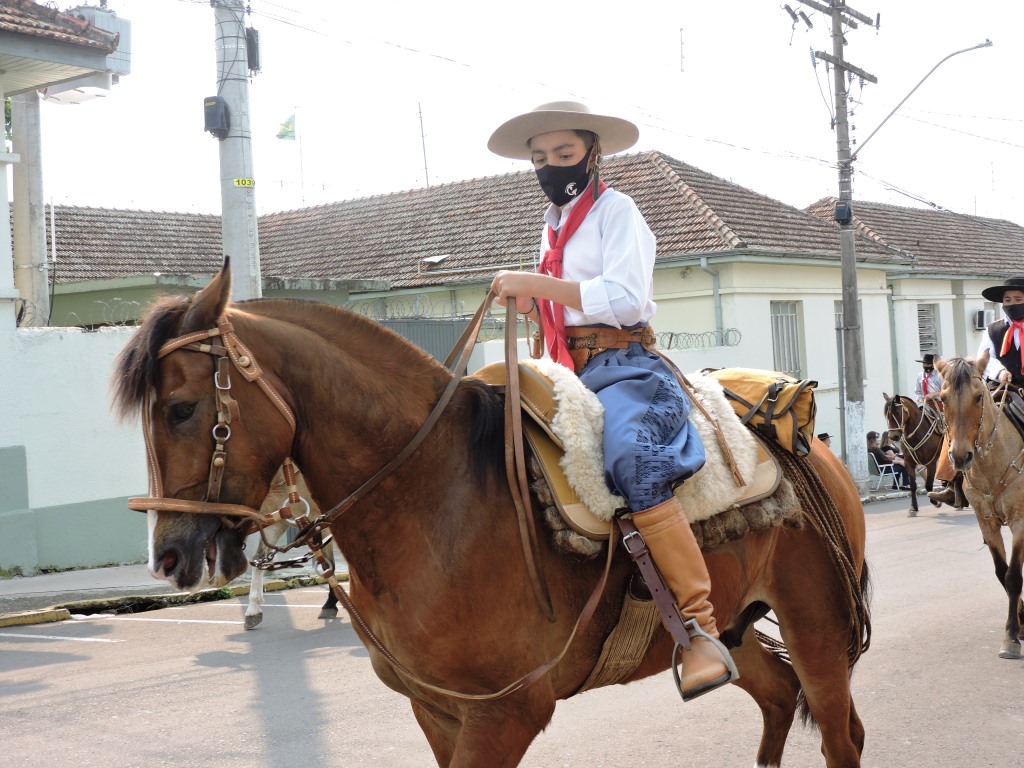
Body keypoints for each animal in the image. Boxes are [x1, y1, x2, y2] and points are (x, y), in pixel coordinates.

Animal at [114, 266, 872, 768]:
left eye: (181, 409)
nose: (169, 557)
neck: (429, 499)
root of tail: (801, 433)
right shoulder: (436, 711)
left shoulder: (503, 714)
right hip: (740, 624)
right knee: (779, 698)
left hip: (815, 624)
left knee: (840, 734)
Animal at [937, 354, 1024, 663]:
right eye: (942, 399)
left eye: (977, 397)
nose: (960, 456)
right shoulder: (986, 522)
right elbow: (1002, 572)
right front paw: (1021, 623)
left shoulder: (1020, 521)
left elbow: (1013, 576)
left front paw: (1011, 637)